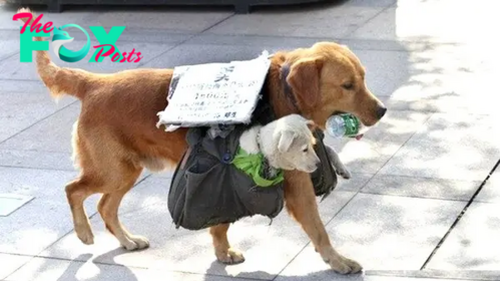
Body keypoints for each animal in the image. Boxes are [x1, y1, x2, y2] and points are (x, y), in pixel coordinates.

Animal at [17, 8, 386, 274]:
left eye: (364, 78)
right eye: (348, 85)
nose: (382, 110)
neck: (284, 93)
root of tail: (94, 82)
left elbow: (220, 222)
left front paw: (221, 251)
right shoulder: (294, 183)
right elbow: (318, 229)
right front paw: (338, 261)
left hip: (127, 171)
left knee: (105, 206)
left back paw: (127, 240)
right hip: (113, 170)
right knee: (74, 190)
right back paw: (83, 232)